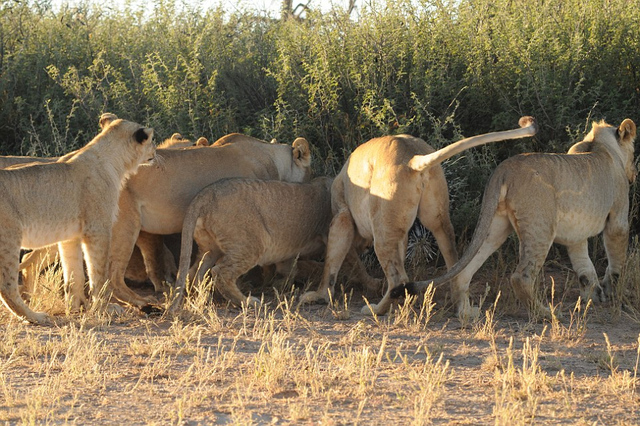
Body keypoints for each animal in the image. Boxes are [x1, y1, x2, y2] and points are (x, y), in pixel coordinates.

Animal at [0, 113, 155, 322]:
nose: (156, 152)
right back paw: (35, 317)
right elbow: (98, 272)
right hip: (9, 238)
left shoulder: (70, 236)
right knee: (7, 285)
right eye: (152, 140)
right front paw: (105, 308)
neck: (114, 161)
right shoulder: (98, 229)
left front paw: (75, 308)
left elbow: (73, 274)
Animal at [298, 115, 536, 318]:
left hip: (381, 229)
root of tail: (413, 159)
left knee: (399, 278)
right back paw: (462, 310)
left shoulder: (342, 216)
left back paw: (376, 310)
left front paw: (318, 296)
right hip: (437, 219)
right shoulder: (399, 230)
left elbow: (333, 260)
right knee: (454, 264)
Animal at [390, 118, 636, 318]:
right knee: (521, 276)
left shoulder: (576, 236)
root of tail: (504, 168)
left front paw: (593, 295)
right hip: (540, 227)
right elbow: (616, 261)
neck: (601, 146)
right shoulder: (618, 220)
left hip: (496, 227)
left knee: (465, 270)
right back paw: (546, 314)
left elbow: (585, 267)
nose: (634, 173)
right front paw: (612, 292)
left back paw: (466, 312)